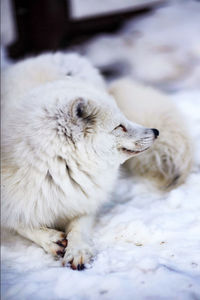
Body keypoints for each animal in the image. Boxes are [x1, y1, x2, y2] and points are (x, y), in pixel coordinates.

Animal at [1, 52, 158, 270]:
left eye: (124, 120)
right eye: (119, 126)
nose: (155, 131)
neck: (55, 172)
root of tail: (58, 55)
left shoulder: (84, 198)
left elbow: (78, 226)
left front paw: (78, 251)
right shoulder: (11, 204)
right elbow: (20, 224)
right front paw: (51, 239)